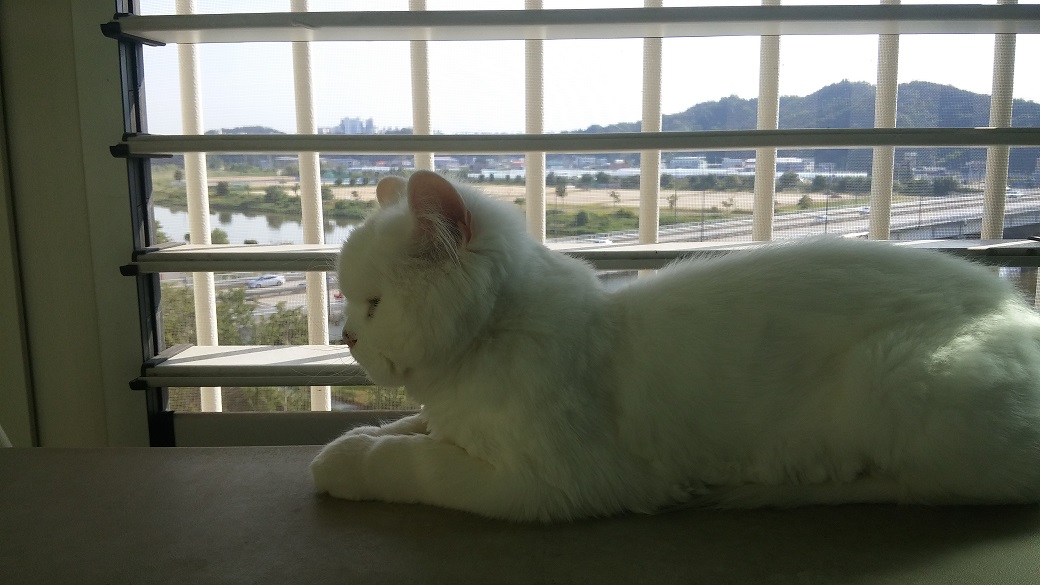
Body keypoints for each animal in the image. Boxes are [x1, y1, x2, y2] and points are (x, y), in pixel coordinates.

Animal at [311, 170, 1040, 522]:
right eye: (348, 300)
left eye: (373, 303)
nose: (347, 337)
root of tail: (1014, 307)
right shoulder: (450, 422)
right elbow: (405, 427)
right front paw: (349, 444)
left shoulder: (547, 482)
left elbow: (415, 464)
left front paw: (352, 462)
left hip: (901, 377)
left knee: (949, 483)